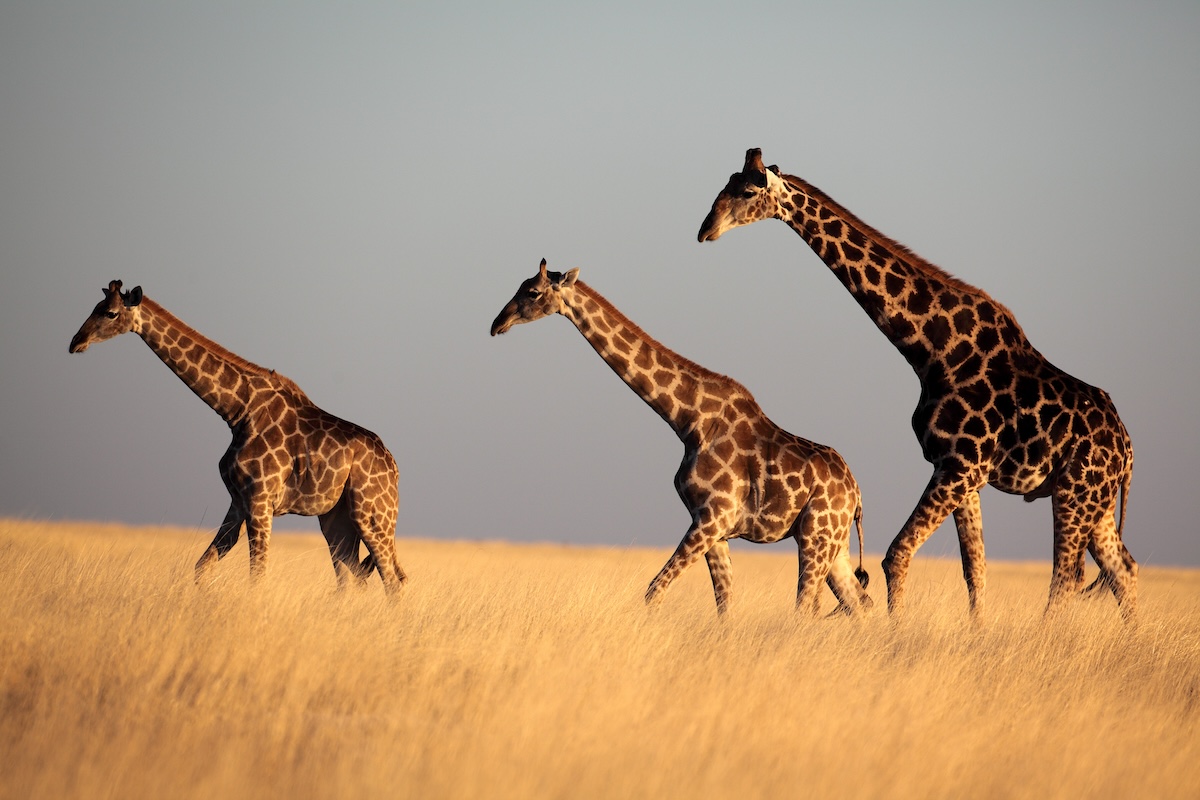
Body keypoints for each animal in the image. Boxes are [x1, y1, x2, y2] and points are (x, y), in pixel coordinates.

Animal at [489, 260, 873, 618]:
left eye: (532, 292)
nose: (496, 324)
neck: (688, 421)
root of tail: (856, 495)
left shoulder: (712, 517)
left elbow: (654, 591)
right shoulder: (713, 527)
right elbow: (724, 605)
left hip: (815, 536)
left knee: (807, 608)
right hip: (834, 544)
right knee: (860, 604)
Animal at [696, 151, 1132, 623]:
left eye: (747, 191)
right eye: (726, 183)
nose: (705, 230)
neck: (930, 352)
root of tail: (1128, 453)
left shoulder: (959, 465)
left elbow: (897, 554)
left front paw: (896, 633)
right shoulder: (964, 473)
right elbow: (974, 570)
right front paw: (974, 634)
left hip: (1075, 493)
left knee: (1066, 578)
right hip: (1096, 503)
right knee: (1122, 569)